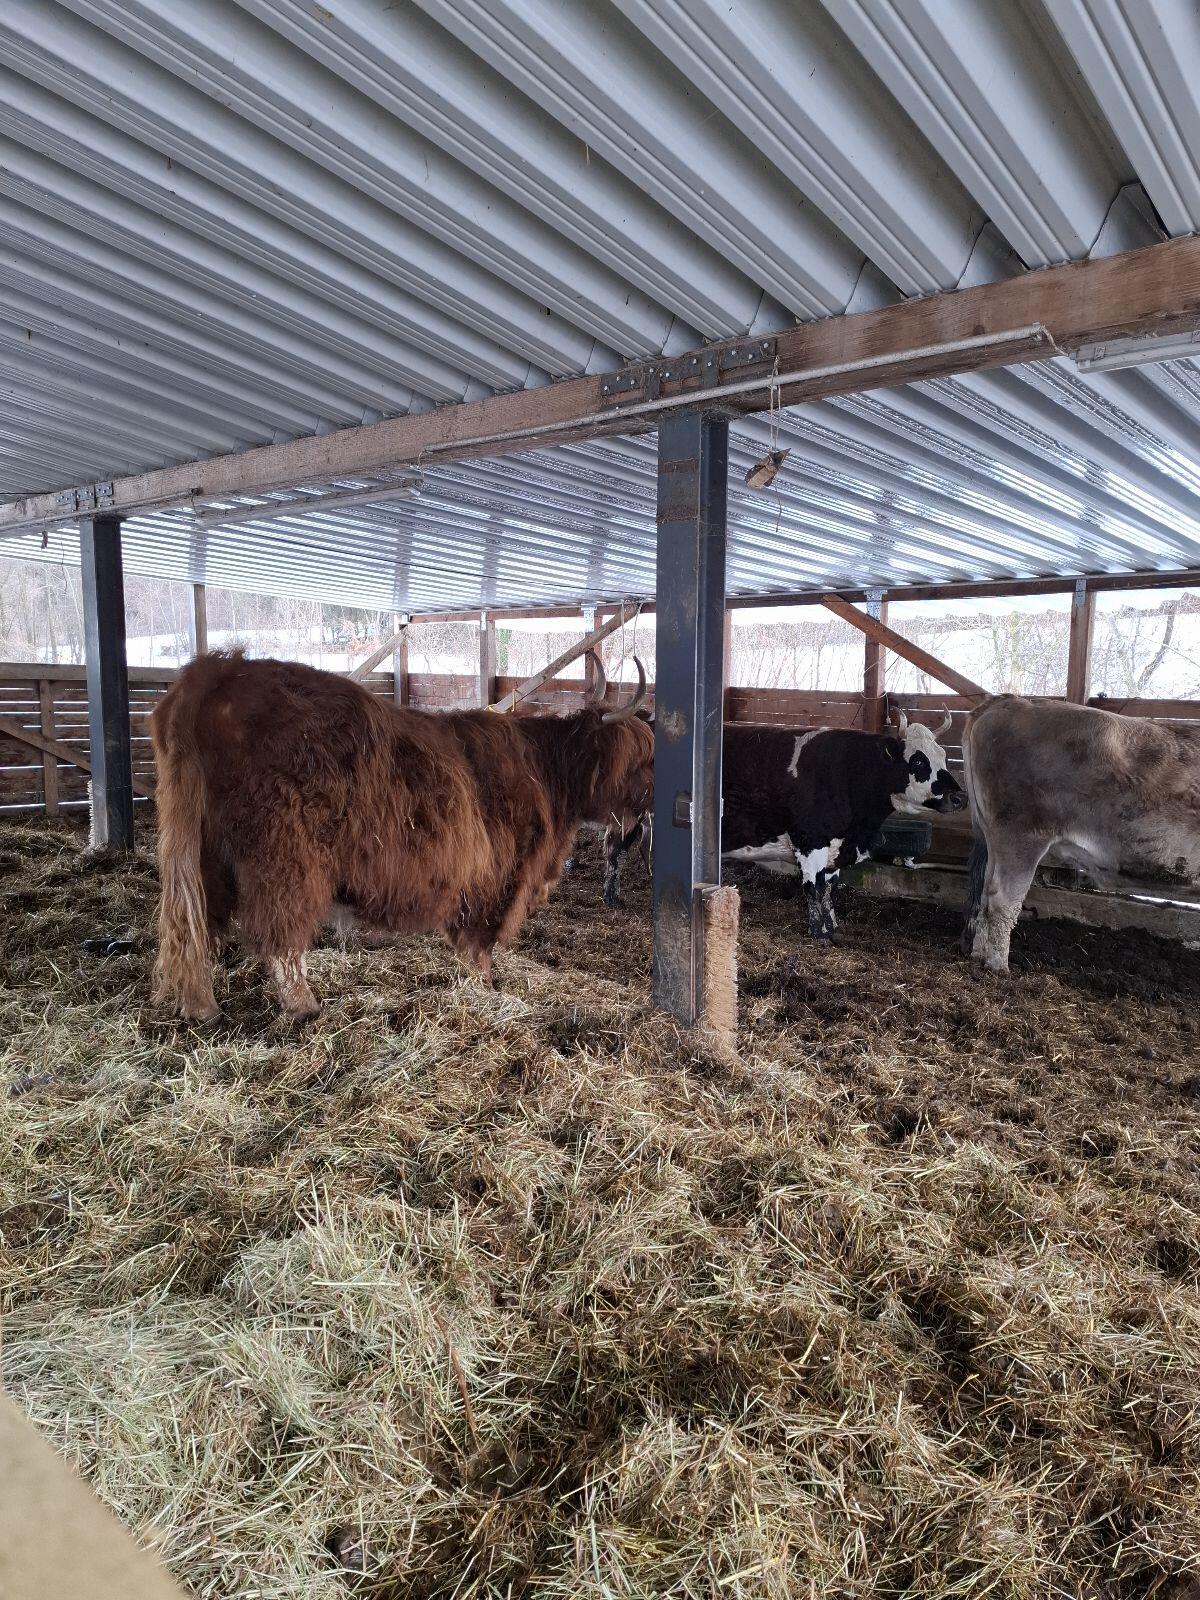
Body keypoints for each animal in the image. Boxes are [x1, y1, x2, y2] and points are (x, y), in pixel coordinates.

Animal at [150, 650, 652, 1021]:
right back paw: (304, 1006)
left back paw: (201, 1007)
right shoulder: (498, 879)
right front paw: (485, 990)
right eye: (641, 760)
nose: (653, 801)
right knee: (279, 933)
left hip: (201, 852)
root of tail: (217, 671)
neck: (546, 773)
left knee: (195, 927)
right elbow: (480, 947)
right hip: (284, 855)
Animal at [601, 709, 966, 939]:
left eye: (945, 756)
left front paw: (833, 927)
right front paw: (819, 933)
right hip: (627, 814)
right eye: (918, 761)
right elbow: (813, 887)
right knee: (614, 852)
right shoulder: (810, 840)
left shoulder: (836, 846)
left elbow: (830, 888)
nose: (959, 797)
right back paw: (611, 898)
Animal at [961, 694, 1200, 973]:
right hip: (1022, 835)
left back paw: (979, 955)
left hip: (994, 837)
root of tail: (1011, 700)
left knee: (985, 893)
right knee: (1003, 901)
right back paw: (998, 967)